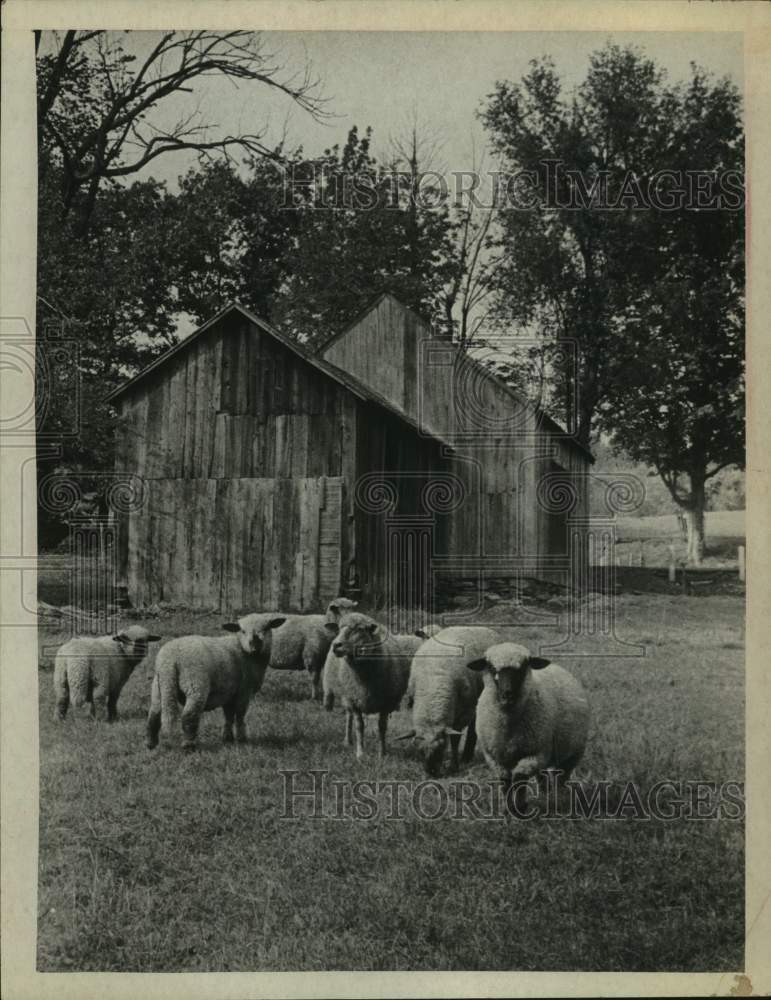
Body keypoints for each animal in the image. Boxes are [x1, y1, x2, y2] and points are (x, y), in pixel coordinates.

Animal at [145, 612, 286, 751]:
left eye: (266, 628)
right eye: (243, 631)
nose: (255, 645)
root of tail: (169, 660)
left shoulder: (229, 693)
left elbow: (228, 715)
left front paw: (228, 738)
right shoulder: (244, 690)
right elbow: (240, 715)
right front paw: (241, 739)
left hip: (160, 685)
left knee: (154, 714)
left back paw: (151, 744)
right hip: (195, 683)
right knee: (189, 715)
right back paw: (188, 745)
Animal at [322, 615, 432, 759]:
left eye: (359, 628)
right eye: (339, 629)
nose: (336, 645)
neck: (364, 677)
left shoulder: (386, 703)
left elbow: (382, 727)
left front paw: (382, 753)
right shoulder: (355, 700)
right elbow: (359, 726)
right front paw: (360, 754)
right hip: (346, 695)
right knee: (348, 716)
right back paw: (347, 741)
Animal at [398, 626, 502, 776]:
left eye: (441, 747)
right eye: (419, 750)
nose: (432, 773)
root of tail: (489, 630)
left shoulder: (463, 713)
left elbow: (455, 739)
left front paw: (454, 766)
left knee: (474, 728)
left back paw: (466, 757)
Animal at [467, 642, 589, 802]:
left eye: (523, 667)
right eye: (492, 668)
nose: (507, 695)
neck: (507, 727)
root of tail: (557, 667)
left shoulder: (536, 754)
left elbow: (519, 779)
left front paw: (520, 806)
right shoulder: (495, 759)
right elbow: (506, 785)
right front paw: (509, 807)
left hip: (573, 753)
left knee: (562, 778)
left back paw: (560, 797)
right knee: (543, 776)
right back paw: (545, 793)